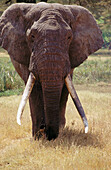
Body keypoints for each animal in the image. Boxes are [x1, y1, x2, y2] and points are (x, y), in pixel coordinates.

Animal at [0, 2, 103, 141]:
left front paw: (56, 132)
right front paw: (38, 136)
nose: (45, 129)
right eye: (32, 36)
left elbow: (64, 87)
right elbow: (34, 89)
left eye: (69, 37)